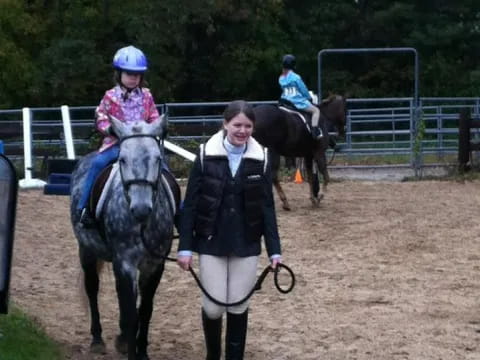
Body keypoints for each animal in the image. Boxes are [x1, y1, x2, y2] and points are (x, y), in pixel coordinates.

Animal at [70, 116, 175, 360]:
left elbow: (144, 311)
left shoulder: (154, 265)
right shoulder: (124, 262)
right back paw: (97, 340)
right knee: (92, 288)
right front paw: (132, 351)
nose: (141, 208)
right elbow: (130, 315)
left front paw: (141, 351)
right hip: (86, 251)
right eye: (123, 160)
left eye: (157, 158)